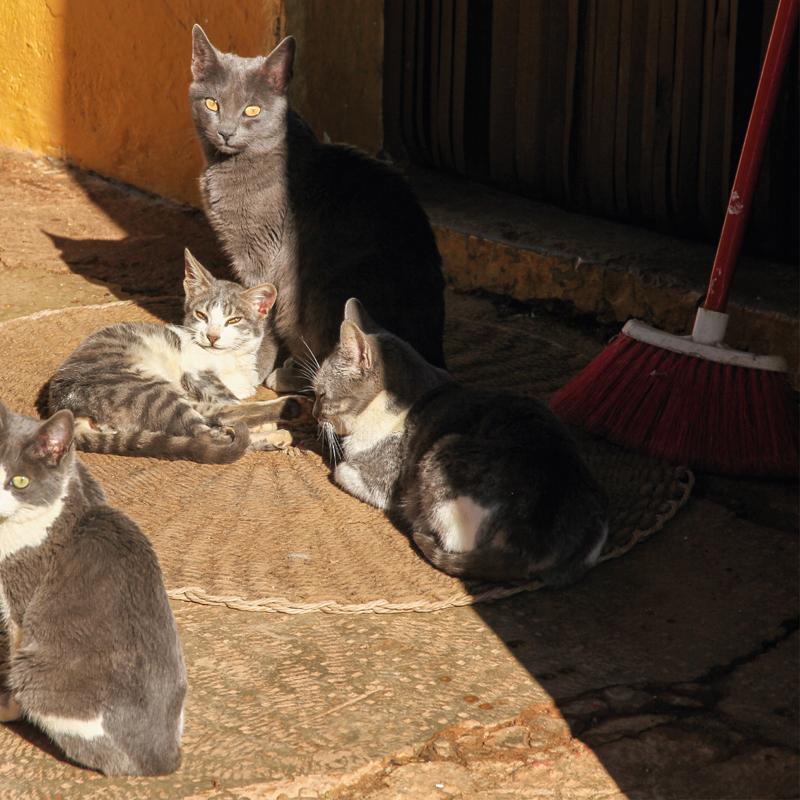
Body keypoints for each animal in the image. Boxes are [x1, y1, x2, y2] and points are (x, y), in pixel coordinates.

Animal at [49, 249, 307, 462]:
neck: (231, 360)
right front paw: (261, 425)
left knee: (213, 417)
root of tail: (64, 408)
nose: (212, 336)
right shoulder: (198, 374)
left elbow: (232, 399)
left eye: (233, 320)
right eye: (201, 315)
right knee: (209, 434)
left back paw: (286, 417)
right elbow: (228, 399)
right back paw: (285, 418)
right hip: (145, 389)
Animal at [189, 25, 446, 391]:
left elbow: (261, 314)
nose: (226, 131)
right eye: (212, 103)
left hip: (318, 295)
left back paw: (285, 374)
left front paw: (255, 366)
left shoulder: (264, 258)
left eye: (252, 111)